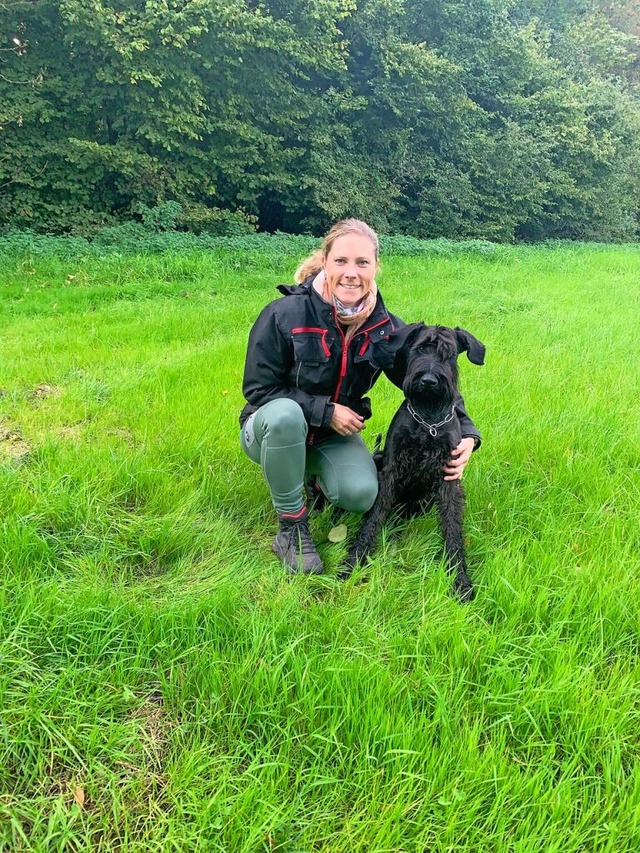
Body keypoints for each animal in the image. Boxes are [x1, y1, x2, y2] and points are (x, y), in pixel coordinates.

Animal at [340, 322, 484, 604]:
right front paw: (355, 559)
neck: (428, 419)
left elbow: (452, 528)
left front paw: (460, 579)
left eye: (449, 353)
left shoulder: (449, 478)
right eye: (419, 349)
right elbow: (374, 516)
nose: (428, 380)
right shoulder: (391, 469)